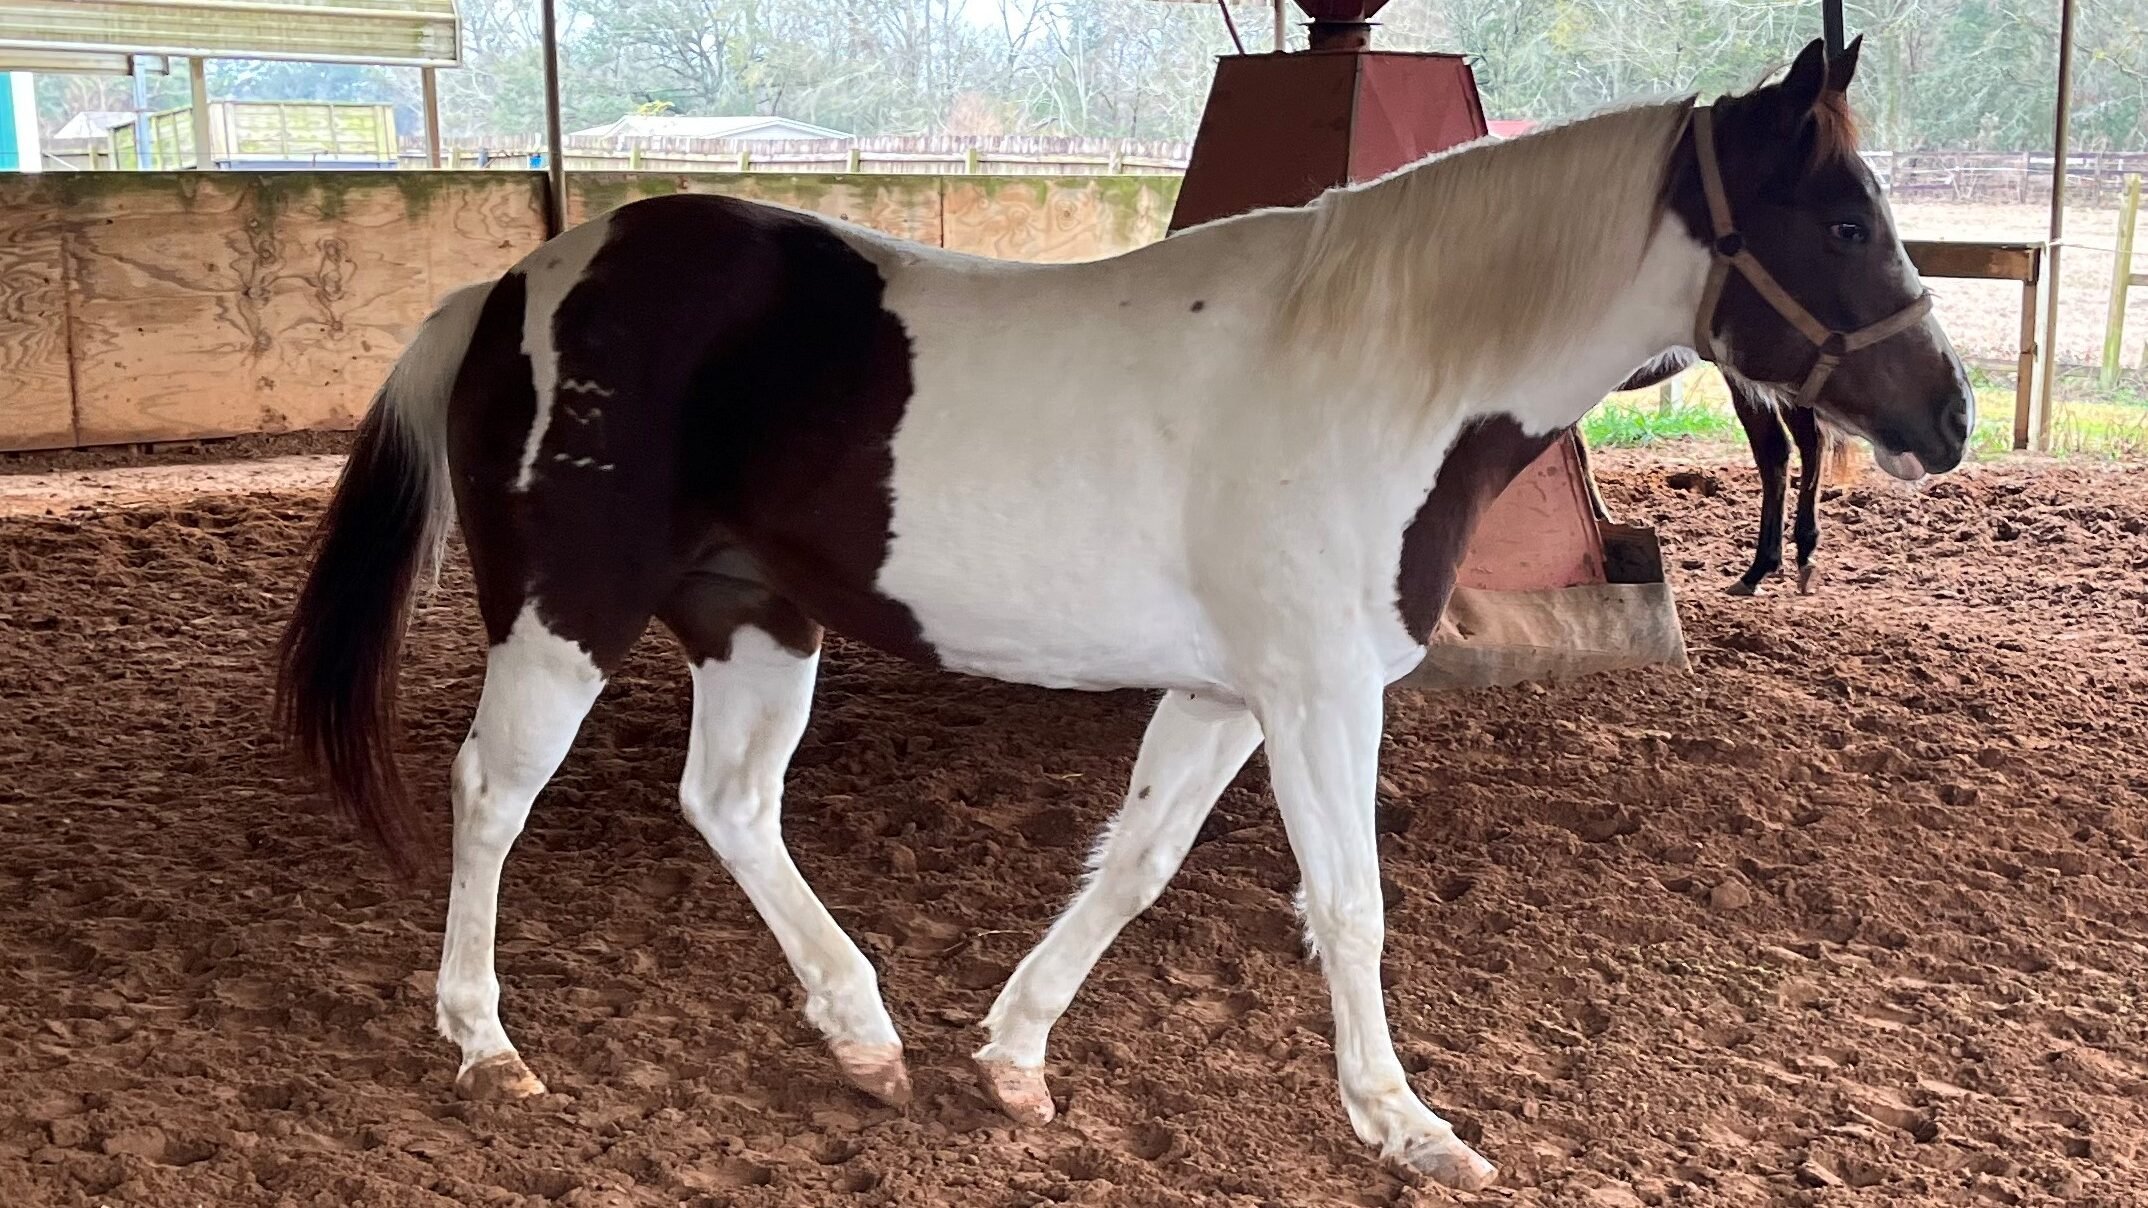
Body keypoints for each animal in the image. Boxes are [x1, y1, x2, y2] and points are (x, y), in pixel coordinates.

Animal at [281, 40, 1967, 1186]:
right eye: (1841, 223)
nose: (1945, 417)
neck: (1380, 366)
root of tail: (510, 291)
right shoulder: (1317, 694)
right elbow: (1349, 905)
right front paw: (1405, 1125)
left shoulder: (1229, 693)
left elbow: (1136, 865)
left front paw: (1016, 1061)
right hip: (567, 612)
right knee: (494, 792)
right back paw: (486, 1044)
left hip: (757, 622)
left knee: (732, 805)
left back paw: (863, 1032)